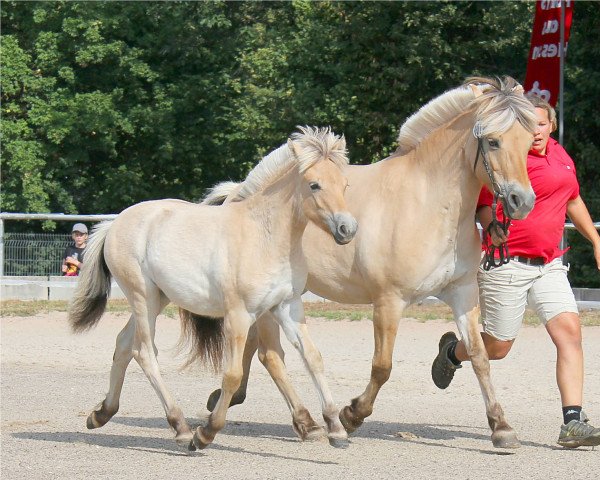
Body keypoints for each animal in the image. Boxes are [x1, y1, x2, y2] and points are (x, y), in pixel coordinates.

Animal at [67, 127, 356, 450]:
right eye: (314, 184)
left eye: (344, 185)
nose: (347, 229)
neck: (263, 236)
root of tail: (115, 223)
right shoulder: (239, 316)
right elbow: (232, 375)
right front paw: (206, 433)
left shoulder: (287, 307)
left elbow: (313, 358)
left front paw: (335, 429)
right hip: (142, 298)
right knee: (144, 353)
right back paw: (181, 428)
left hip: (157, 299)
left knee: (123, 344)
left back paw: (101, 414)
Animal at [206, 77, 540, 448]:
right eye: (493, 141)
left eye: (530, 143)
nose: (522, 201)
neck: (427, 202)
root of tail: (240, 193)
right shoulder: (389, 301)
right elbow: (382, 366)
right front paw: (352, 415)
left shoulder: (463, 293)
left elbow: (480, 357)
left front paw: (501, 426)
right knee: (271, 356)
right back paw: (305, 422)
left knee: (255, 350)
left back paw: (236, 400)